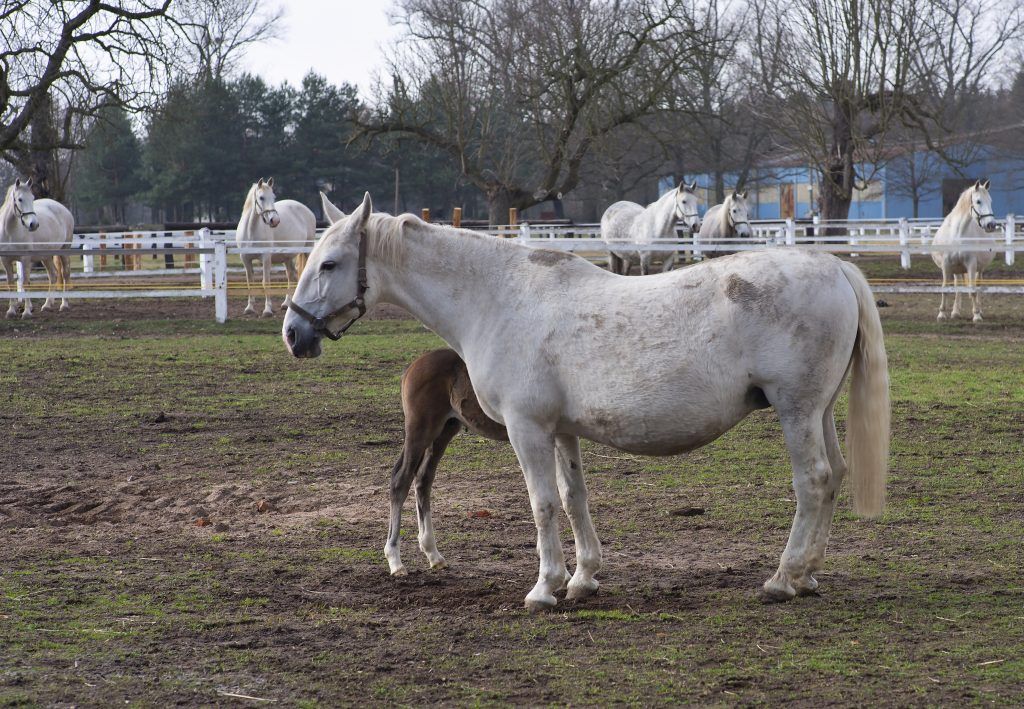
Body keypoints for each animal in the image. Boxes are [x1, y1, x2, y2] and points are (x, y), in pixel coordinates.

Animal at [0, 178, 73, 319]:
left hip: (64, 250)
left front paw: (27, 312)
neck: (10, 231)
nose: (34, 224)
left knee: (65, 274)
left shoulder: (25, 259)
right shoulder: (5, 260)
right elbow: (10, 283)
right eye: (20, 199)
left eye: (33, 198)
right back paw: (47, 305)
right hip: (46, 256)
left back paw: (64, 305)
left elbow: (25, 283)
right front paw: (11, 311)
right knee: (53, 275)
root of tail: (64, 209)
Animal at [235, 178, 315, 317]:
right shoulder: (245, 258)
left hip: (307, 251)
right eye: (261, 197)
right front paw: (249, 308)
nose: (275, 220)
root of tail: (307, 210)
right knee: (291, 275)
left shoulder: (266, 258)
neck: (251, 231)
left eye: (273, 197)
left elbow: (266, 282)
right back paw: (286, 304)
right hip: (287, 258)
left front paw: (267, 310)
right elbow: (250, 282)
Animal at [280, 192, 888, 610]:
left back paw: (783, 579)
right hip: (818, 411)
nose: (293, 333)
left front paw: (544, 587)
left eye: (330, 264)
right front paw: (583, 578)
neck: (498, 299)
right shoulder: (562, 430)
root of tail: (836, 266)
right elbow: (575, 498)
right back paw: (808, 575)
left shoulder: (527, 429)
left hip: (796, 411)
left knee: (812, 481)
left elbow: (542, 504)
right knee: (833, 476)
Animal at [933, 178, 995, 321]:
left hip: (979, 269)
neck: (957, 235)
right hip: (957, 270)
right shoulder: (946, 265)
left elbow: (973, 290)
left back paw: (979, 310)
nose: (991, 225)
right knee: (958, 286)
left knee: (978, 286)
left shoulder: (971, 265)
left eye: (990, 201)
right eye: (978, 201)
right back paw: (955, 312)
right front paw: (942, 314)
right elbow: (945, 289)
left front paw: (976, 315)